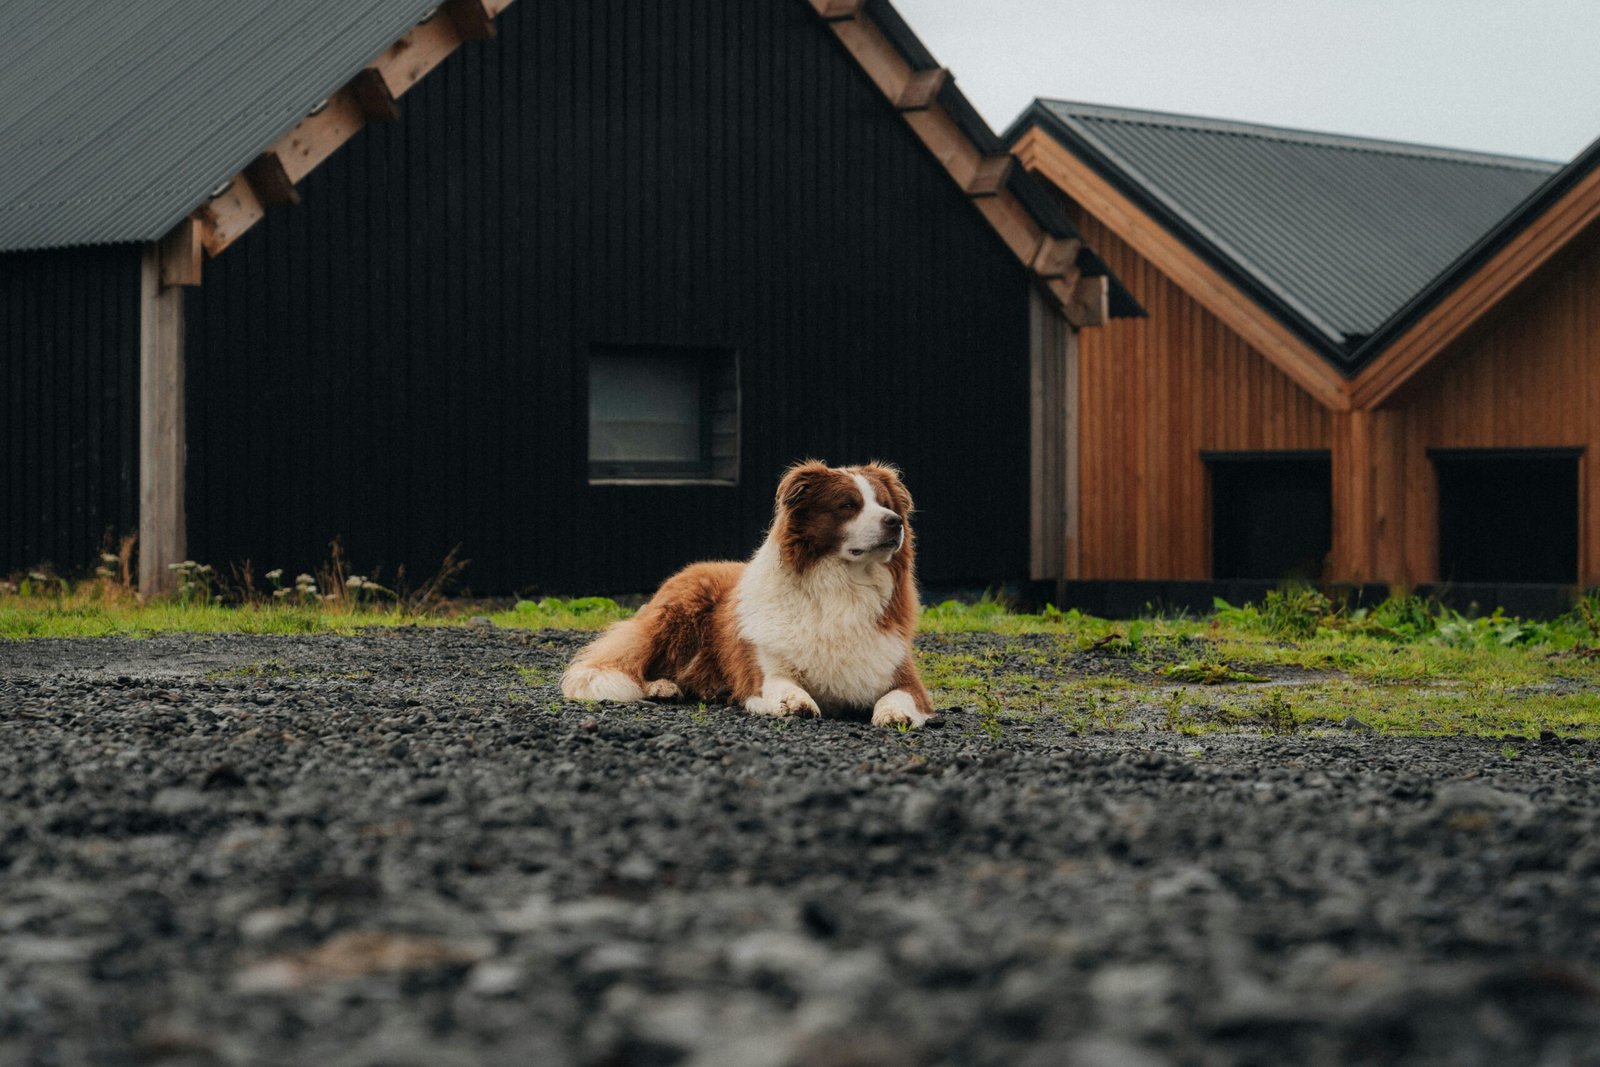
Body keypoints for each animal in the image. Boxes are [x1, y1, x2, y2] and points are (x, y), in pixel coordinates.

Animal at [563, 463, 934, 729]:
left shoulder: (904, 676)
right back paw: (661, 686)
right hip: (678, 614)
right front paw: (794, 701)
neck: (842, 587)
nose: (895, 522)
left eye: (885, 505)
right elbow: (782, 684)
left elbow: (900, 696)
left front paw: (894, 713)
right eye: (848, 505)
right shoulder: (762, 671)